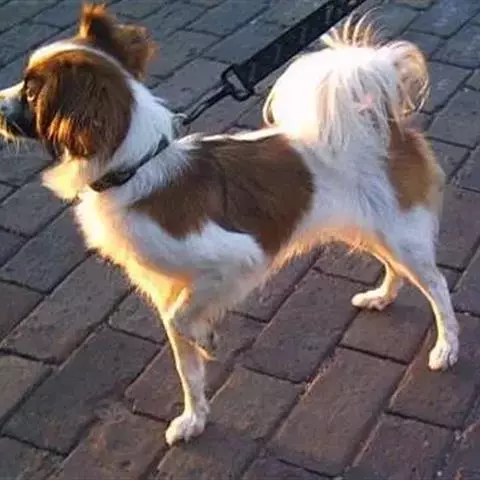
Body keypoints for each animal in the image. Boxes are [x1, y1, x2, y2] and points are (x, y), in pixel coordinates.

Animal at [0, 5, 459, 446]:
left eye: (31, 91)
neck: (136, 166)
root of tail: (384, 124)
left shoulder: (234, 261)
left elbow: (182, 322)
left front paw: (206, 340)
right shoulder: (169, 289)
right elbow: (187, 368)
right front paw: (193, 419)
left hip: (401, 235)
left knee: (437, 287)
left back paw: (447, 347)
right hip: (371, 230)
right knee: (395, 268)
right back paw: (382, 297)